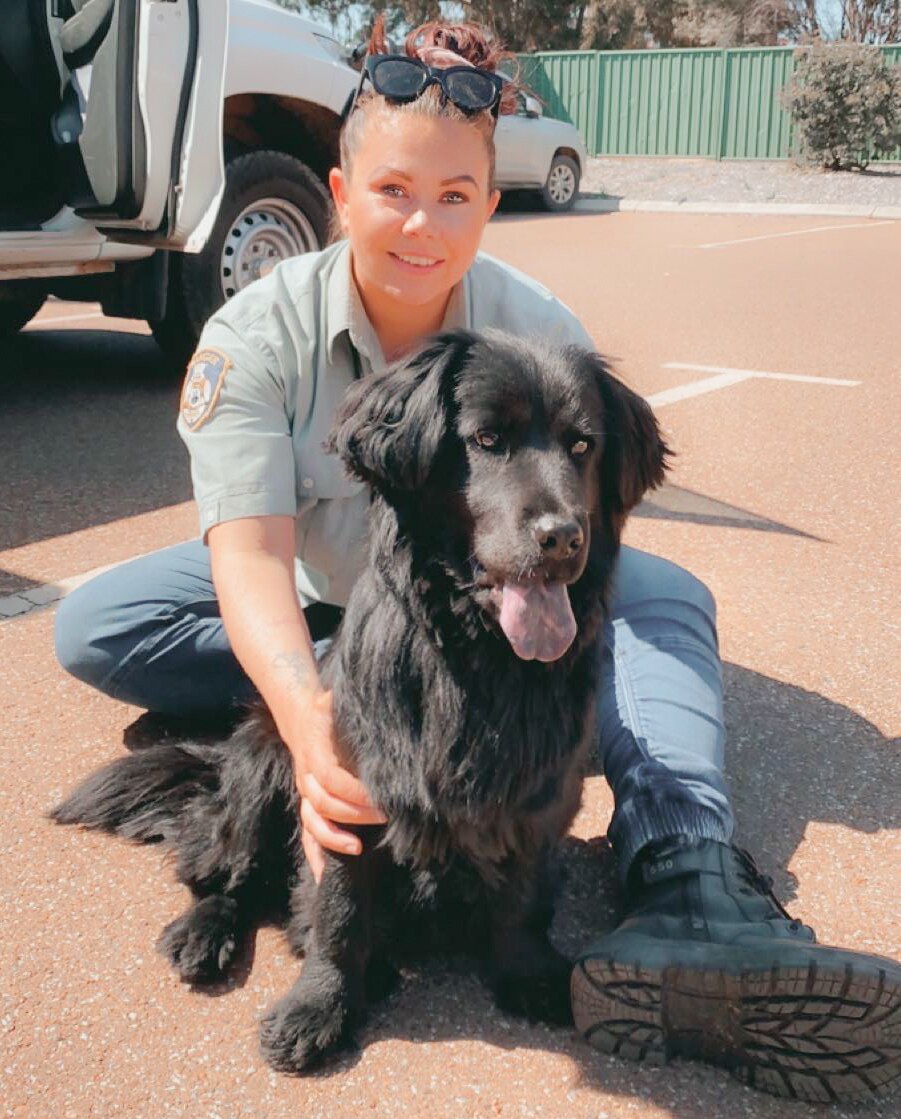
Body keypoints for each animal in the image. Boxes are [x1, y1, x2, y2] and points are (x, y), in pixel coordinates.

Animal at [51, 328, 669, 1073]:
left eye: (583, 446)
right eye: (487, 438)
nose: (562, 536)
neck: (474, 659)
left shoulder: (536, 793)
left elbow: (519, 897)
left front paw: (529, 974)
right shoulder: (346, 793)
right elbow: (340, 913)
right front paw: (316, 1008)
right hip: (261, 759)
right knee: (227, 874)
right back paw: (205, 934)